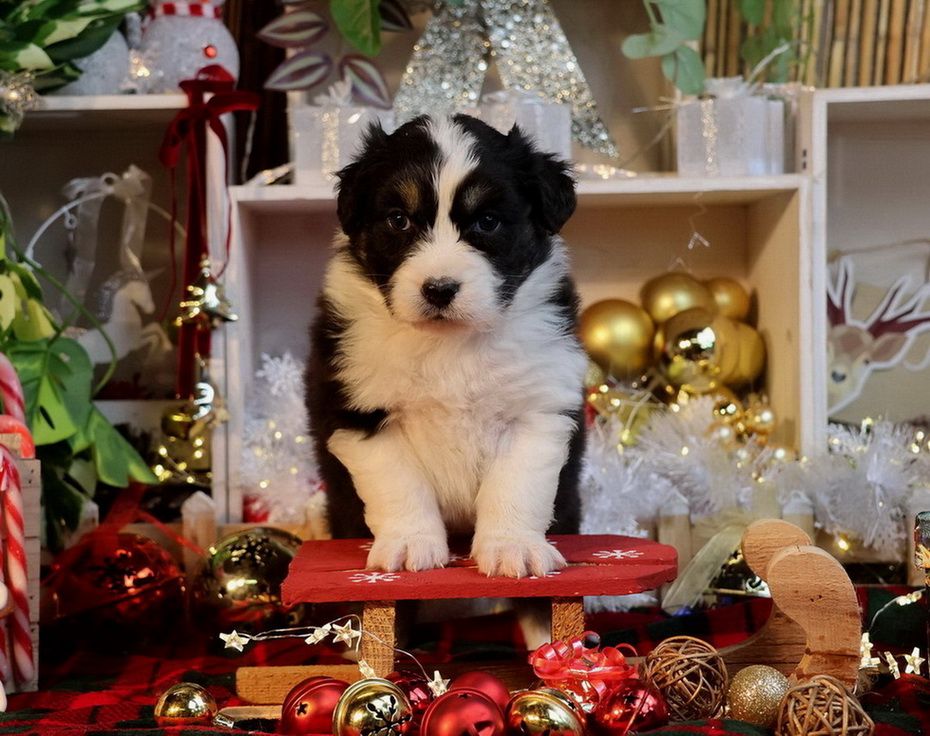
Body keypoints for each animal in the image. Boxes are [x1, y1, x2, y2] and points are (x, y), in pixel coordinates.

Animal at [310, 115, 588, 576]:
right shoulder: (360, 411)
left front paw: (512, 547)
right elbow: (400, 483)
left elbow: (515, 483)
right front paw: (410, 544)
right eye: (399, 220)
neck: (450, 345)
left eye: (488, 221)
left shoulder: (537, 406)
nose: (439, 289)